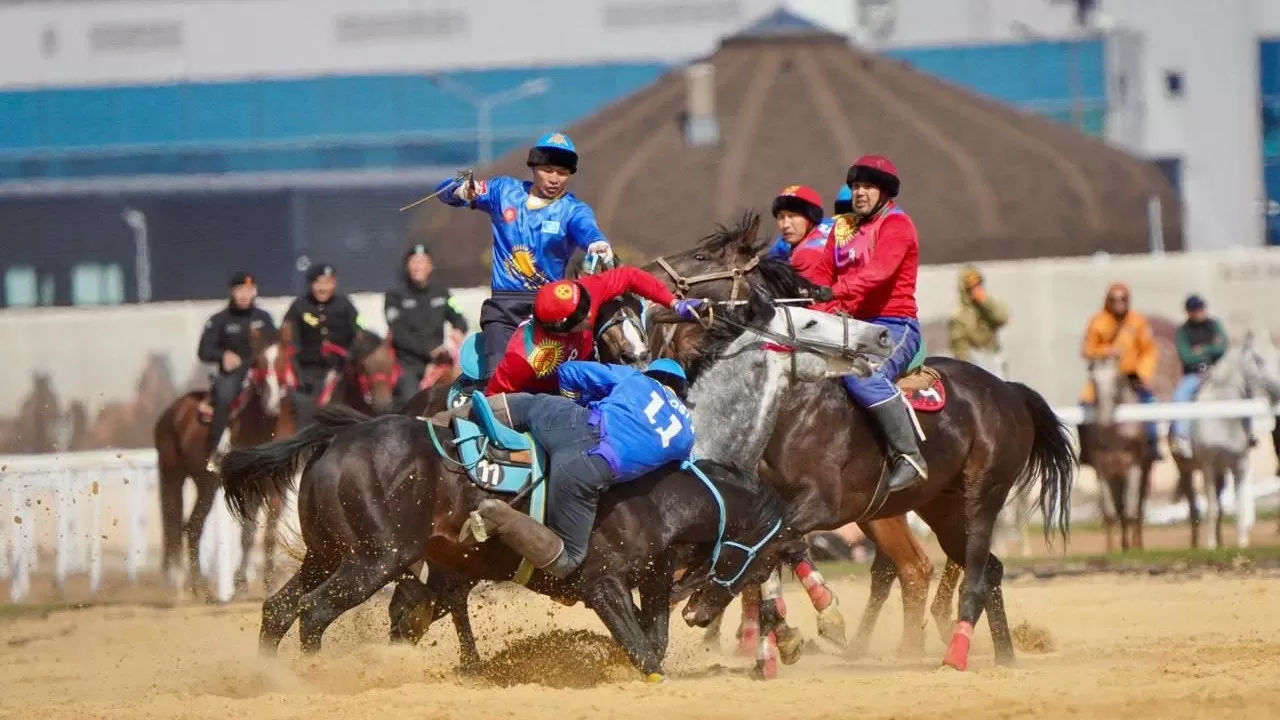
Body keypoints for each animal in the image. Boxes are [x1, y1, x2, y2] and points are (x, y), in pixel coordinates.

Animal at [220, 288, 885, 676]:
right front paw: (805, 630)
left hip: (333, 551)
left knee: (282, 609)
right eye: (812, 319)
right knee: (318, 614)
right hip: (376, 557)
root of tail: (338, 439)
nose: (879, 337)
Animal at [645, 211, 1075, 666]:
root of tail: (1009, 390)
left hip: (981, 496)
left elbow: (763, 545)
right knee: (977, 569)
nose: (648, 274)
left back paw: (952, 654)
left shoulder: (820, 504)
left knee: (964, 572)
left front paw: (711, 603)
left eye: (701, 255)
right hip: (940, 507)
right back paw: (1000, 655)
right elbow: (769, 551)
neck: (796, 407)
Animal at [1085, 353, 1157, 548]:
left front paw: (1134, 548)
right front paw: (1112, 549)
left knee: (1138, 508)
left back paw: (1137, 544)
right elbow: (1110, 513)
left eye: (1116, 379)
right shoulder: (1102, 471)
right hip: (1117, 477)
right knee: (1119, 508)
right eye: (1093, 380)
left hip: (1143, 473)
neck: (1115, 434)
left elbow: (1132, 511)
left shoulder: (1134, 468)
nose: (1104, 419)